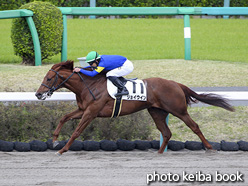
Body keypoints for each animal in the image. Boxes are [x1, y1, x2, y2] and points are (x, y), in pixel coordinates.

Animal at [35, 60, 234, 155]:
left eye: (49, 78)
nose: (38, 94)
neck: (89, 85)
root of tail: (176, 83)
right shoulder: (83, 110)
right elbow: (64, 117)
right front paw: (55, 140)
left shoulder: (91, 112)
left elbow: (76, 131)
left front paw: (62, 150)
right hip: (156, 111)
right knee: (166, 132)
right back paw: (159, 153)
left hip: (178, 110)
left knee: (194, 127)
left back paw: (210, 147)